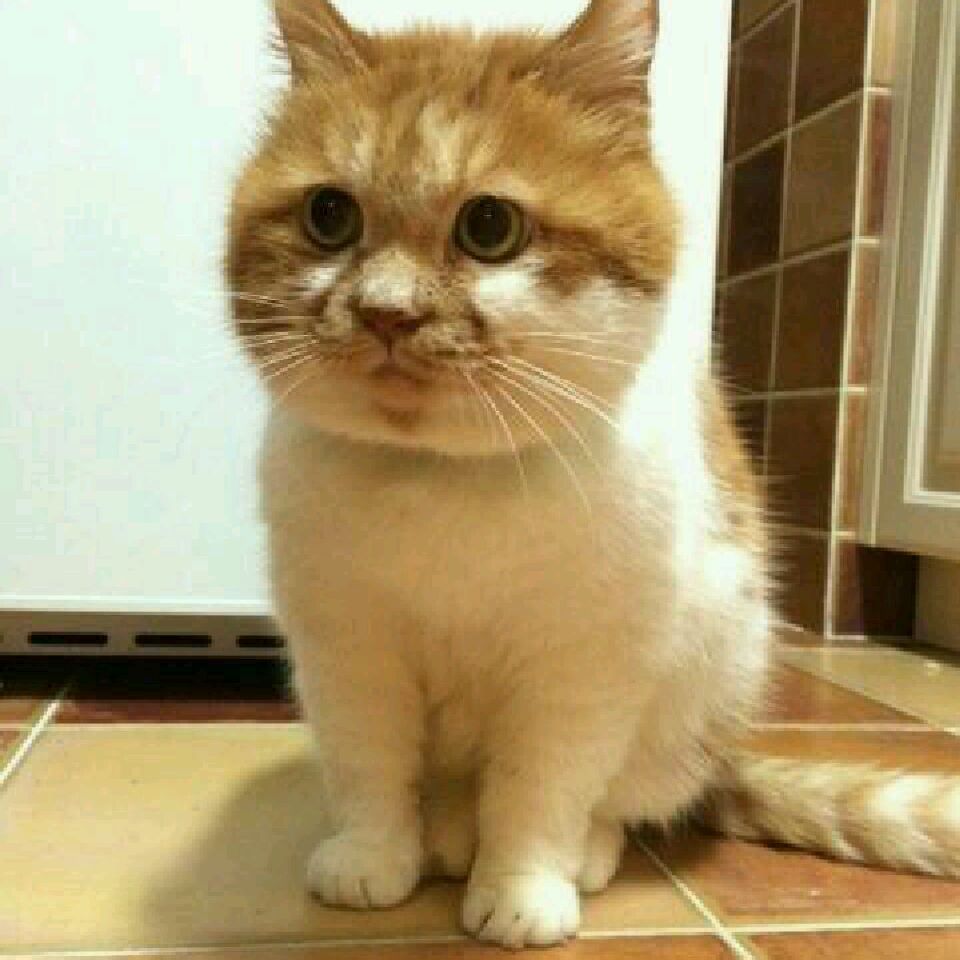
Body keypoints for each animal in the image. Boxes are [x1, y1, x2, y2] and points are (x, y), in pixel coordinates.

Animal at [226, 0, 960, 948]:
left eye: (489, 228)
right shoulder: (348, 651)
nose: (387, 314)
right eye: (329, 216)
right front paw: (371, 859)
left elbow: (539, 792)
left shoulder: (577, 669)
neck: (446, 483)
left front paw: (522, 890)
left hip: (702, 685)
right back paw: (441, 836)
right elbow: (370, 767)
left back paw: (577, 853)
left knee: (618, 801)